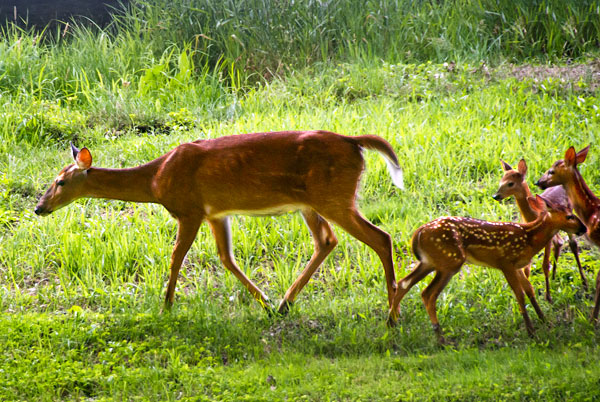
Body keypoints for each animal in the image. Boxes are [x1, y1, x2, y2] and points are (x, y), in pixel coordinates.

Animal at [34, 132, 404, 314]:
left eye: (60, 182)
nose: (39, 207)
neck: (156, 179)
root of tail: (355, 142)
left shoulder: (190, 210)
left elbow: (176, 258)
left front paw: (166, 305)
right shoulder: (216, 213)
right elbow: (226, 258)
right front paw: (264, 302)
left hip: (333, 196)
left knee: (380, 237)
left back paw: (392, 313)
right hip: (312, 203)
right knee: (327, 240)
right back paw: (285, 303)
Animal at [386, 194, 584, 340]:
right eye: (570, 216)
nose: (583, 228)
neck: (530, 238)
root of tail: (417, 233)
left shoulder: (517, 266)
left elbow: (529, 289)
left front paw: (544, 320)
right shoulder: (506, 262)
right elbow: (519, 294)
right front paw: (531, 330)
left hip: (430, 261)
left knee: (404, 283)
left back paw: (391, 323)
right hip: (450, 261)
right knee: (428, 294)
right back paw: (440, 338)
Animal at [492, 158, 584, 302]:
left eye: (510, 183)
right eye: (501, 180)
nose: (496, 196)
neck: (533, 215)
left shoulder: (547, 237)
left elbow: (545, 265)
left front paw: (548, 297)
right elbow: (526, 269)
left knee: (573, 244)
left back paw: (584, 282)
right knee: (559, 242)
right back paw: (554, 277)